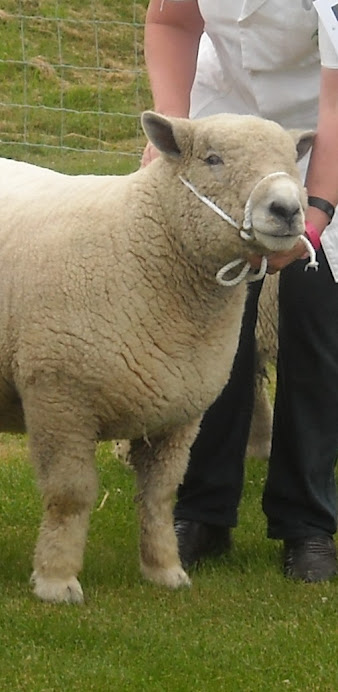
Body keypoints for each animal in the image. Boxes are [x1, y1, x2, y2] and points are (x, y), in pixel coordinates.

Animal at [0, 112, 314, 600]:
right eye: (212, 159)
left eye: (292, 163)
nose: (286, 210)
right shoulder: (59, 397)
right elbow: (70, 496)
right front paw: (56, 579)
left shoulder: (180, 412)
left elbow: (161, 495)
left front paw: (165, 569)